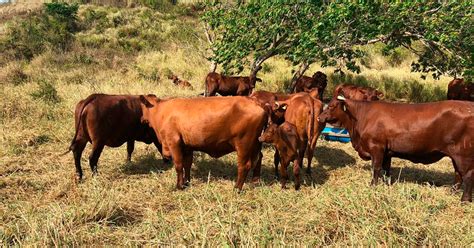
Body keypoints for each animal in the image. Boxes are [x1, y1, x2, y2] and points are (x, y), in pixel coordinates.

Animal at [139, 95, 268, 190]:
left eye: (141, 107)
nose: (141, 119)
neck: (161, 111)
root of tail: (255, 101)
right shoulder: (187, 146)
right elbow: (187, 164)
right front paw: (187, 182)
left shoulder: (174, 142)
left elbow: (179, 165)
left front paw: (179, 186)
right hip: (256, 144)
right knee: (258, 159)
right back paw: (255, 181)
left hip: (243, 144)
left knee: (244, 165)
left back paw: (237, 188)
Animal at [318, 96, 474, 202]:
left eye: (331, 106)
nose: (319, 117)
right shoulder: (387, 152)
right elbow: (386, 169)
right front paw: (387, 184)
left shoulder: (377, 148)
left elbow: (376, 168)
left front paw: (373, 186)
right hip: (455, 156)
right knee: (458, 174)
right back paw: (452, 192)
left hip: (463, 155)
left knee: (467, 175)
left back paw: (464, 200)